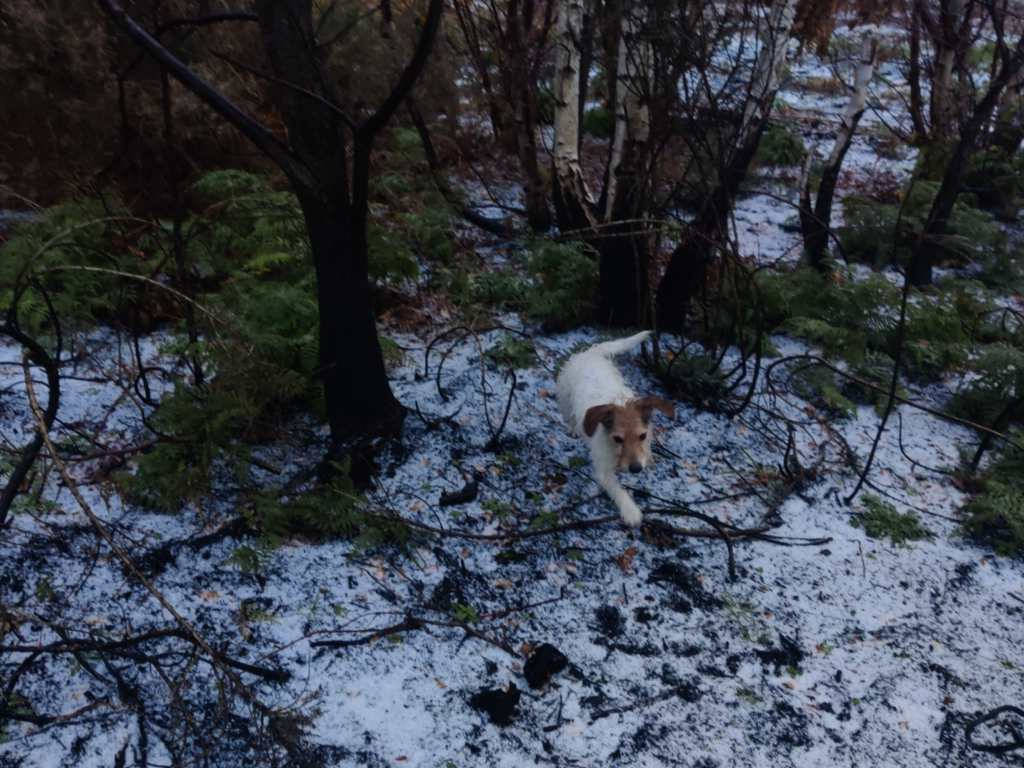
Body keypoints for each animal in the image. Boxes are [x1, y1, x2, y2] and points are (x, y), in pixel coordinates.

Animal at [561, 331, 671, 528]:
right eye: (618, 438)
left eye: (642, 436)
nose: (636, 469)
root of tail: (590, 354)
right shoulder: (604, 470)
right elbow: (618, 490)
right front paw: (630, 510)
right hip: (565, 399)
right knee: (570, 415)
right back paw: (573, 427)